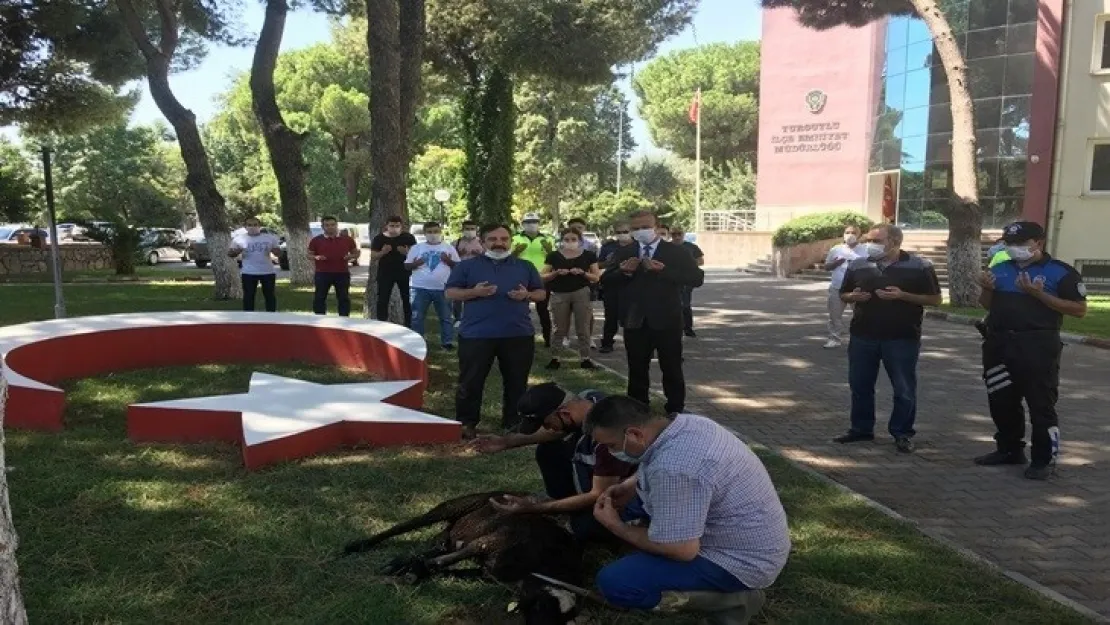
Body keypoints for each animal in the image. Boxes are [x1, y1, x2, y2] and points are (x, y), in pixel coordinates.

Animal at [344, 490, 590, 621]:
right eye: (541, 608)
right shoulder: (487, 542)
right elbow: (444, 561)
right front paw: (415, 573)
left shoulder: (486, 572)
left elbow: (447, 569)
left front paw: (414, 571)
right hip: (454, 506)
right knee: (405, 527)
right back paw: (357, 545)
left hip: (452, 532)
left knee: (436, 546)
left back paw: (399, 564)